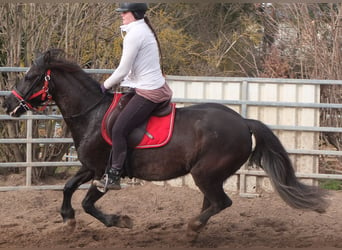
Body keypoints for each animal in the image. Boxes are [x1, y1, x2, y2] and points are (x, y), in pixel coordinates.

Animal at [2, 48, 328, 240]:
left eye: (30, 77)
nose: (8, 105)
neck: (92, 113)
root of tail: (243, 121)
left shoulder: (103, 172)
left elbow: (87, 202)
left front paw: (120, 220)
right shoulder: (88, 167)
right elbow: (69, 188)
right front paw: (68, 220)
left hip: (205, 173)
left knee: (221, 202)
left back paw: (193, 228)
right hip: (209, 176)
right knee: (212, 202)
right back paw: (196, 231)